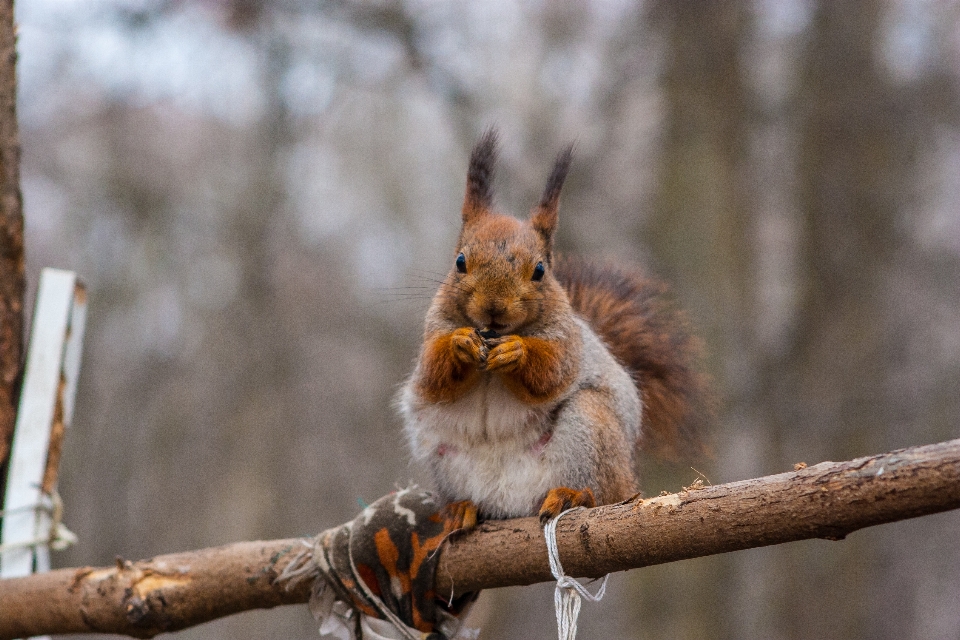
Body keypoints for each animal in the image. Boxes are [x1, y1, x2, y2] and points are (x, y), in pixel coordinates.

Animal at [394, 130, 708, 524]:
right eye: (460, 261)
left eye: (540, 270)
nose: (494, 307)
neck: (496, 334)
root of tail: (510, 502)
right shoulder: (434, 329)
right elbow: (433, 377)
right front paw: (460, 343)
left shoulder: (566, 340)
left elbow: (551, 374)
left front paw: (517, 352)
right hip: (445, 458)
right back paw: (462, 509)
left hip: (590, 427)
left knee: (602, 491)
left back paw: (573, 495)